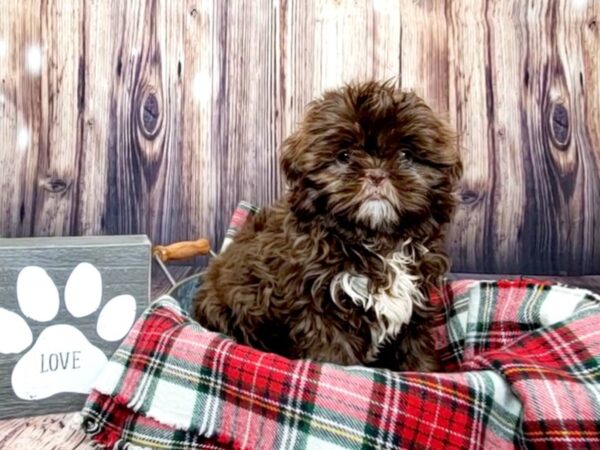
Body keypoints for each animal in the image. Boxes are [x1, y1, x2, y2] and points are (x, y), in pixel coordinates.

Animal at [195, 81, 462, 372]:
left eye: (406, 155)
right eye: (344, 156)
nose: (376, 174)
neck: (376, 240)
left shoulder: (416, 299)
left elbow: (415, 349)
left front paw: (425, 371)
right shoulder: (317, 307)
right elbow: (334, 357)